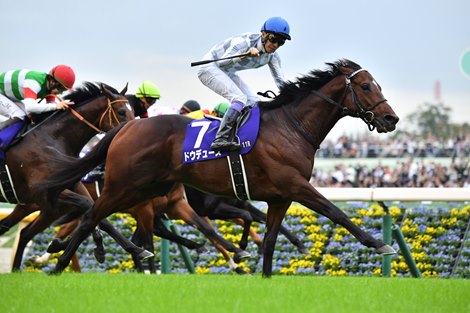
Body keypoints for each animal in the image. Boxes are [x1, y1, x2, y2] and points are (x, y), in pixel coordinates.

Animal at [0, 81, 152, 270]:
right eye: (121, 112)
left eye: (133, 111)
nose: (137, 134)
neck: (52, 140)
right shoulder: (43, 191)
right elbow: (86, 205)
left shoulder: (72, 186)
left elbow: (97, 213)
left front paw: (134, 250)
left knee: (18, 231)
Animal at [39, 58, 400, 276]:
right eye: (366, 86)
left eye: (377, 85)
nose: (391, 118)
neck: (291, 126)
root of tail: (127, 127)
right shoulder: (296, 185)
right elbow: (336, 212)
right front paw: (380, 244)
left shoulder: (279, 197)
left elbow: (270, 238)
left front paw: (264, 275)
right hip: (124, 187)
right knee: (90, 216)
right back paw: (57, 264)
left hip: (145, 192)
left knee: (116, 223)